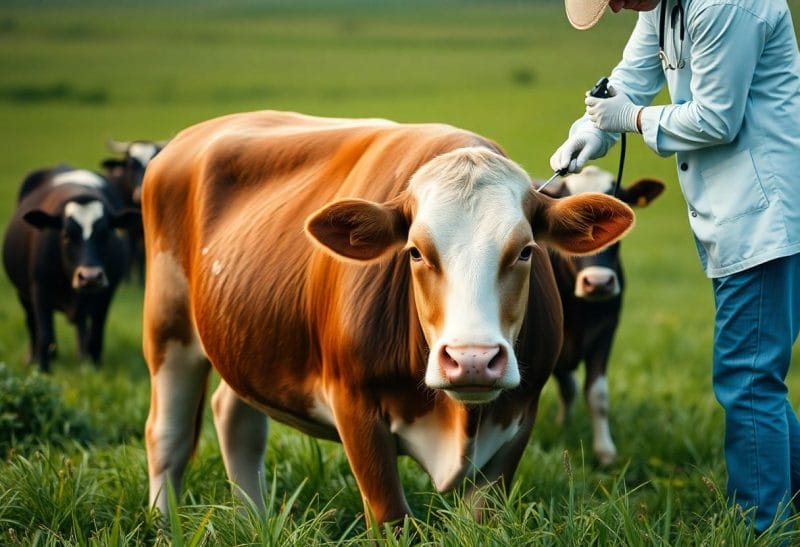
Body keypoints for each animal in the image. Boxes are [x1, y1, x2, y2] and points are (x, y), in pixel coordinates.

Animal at [2, 165, 140, 372]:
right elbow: (45, 335)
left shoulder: (106, 295)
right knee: (32, 325)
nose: (90, 277)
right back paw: (34, 358)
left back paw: (82, 359)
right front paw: (43, 371)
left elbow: (96, 338)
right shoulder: (40, 290)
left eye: (105, 233)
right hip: (23, 294)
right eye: (66, 234)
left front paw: (94, 370)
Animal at [140, 111, 635, 526]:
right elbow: (391, 517)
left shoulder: (519, 413)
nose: (472, 360)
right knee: (167, 437)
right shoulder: (354, 406)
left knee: (236, 419)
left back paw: (254, 522)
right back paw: (164, 526)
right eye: (415, 251)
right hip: (169, 328)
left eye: (527, 250)